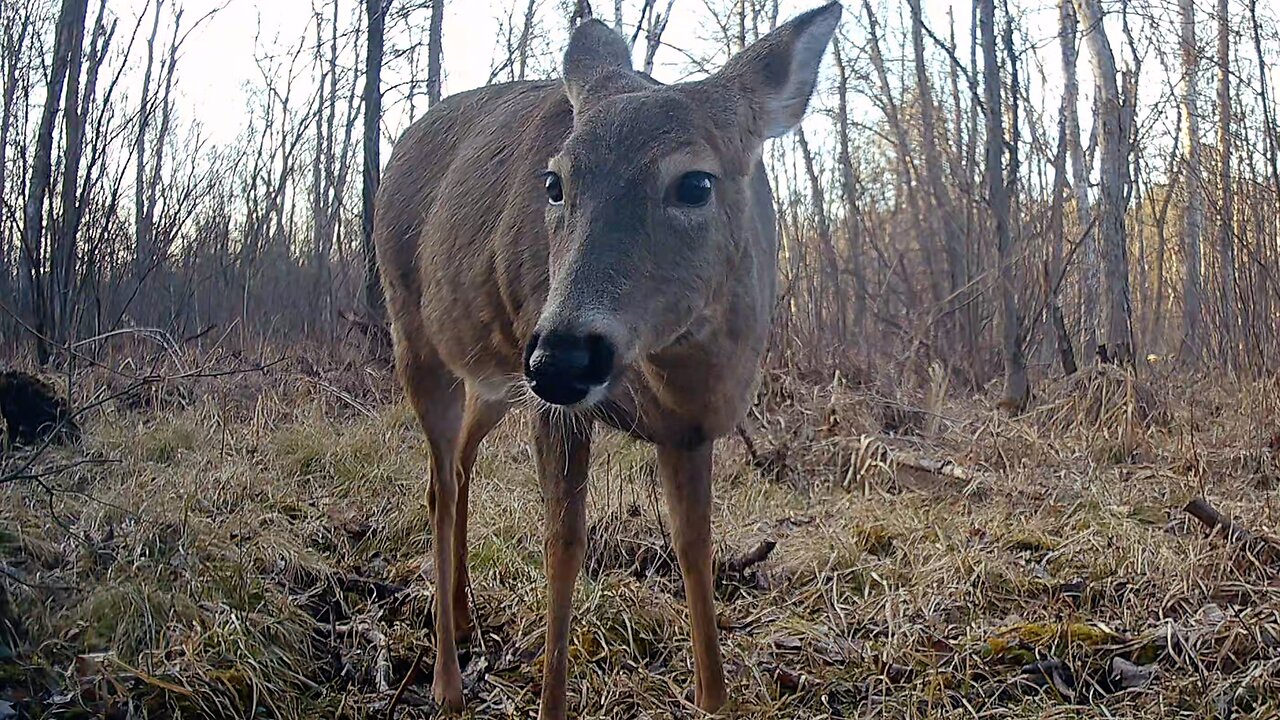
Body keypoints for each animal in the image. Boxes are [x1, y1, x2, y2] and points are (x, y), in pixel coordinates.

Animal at [373, 2, 841, 716]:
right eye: (554, 181)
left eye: (696, 182)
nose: (562, 358)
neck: (680, 376)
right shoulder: (559, 407)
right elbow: (563, 544)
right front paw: (550, 702)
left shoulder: (691, 428)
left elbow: (695, 546)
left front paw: (714, 698)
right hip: (423, 339)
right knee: (439, 483)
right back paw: (448, 682)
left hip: (498, 377)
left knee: (458, 465)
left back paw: (463, 614)